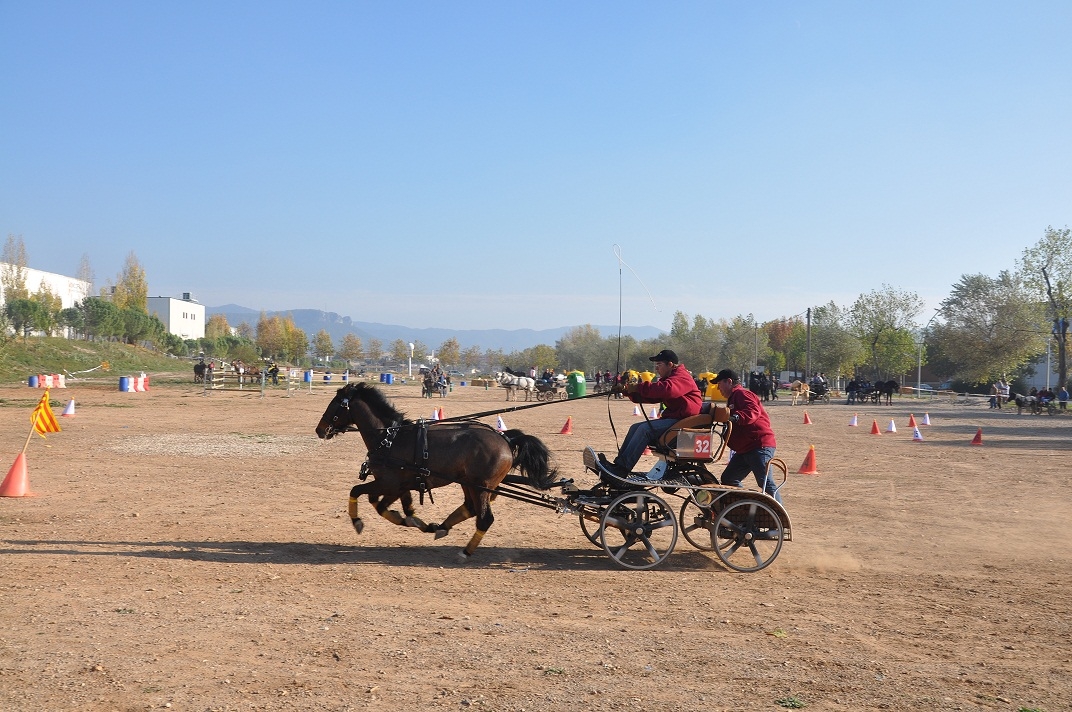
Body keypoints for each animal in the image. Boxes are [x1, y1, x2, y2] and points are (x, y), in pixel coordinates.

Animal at [313, 381, 557, 557]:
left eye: (336, 404)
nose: (320, 430)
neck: (390, 438)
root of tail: (505, 438)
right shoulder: (399, 486)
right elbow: (386, 505)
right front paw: (415, 522)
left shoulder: (388, 483)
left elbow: (357, 491)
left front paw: (357, 522)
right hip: (468, 483)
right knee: (470, 508)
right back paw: (441, 527)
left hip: (481, 487)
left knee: (485, 518)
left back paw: (465, 552)